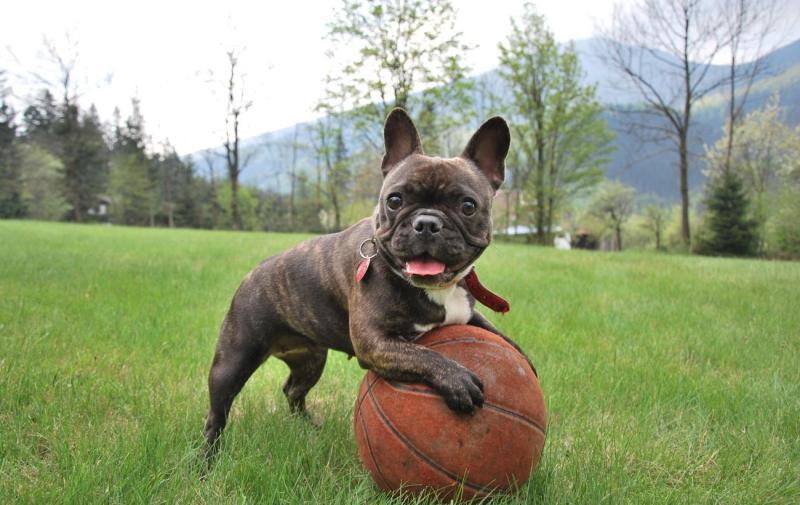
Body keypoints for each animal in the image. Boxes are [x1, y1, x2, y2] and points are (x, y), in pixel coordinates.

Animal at [203, 108, 536, 450]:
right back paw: (208, 457)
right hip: (233, 360)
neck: (436, 288)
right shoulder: (375, 342)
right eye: (395, 200)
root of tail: (251, 275)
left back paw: (309, 427)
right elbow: (422, 354)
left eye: (467, 206)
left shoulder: (467, 313)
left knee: (293, 390)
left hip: (311, 359)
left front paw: (524, 360)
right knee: (217, 414)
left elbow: (498, 335)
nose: (427, 223)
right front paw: (457, 379)